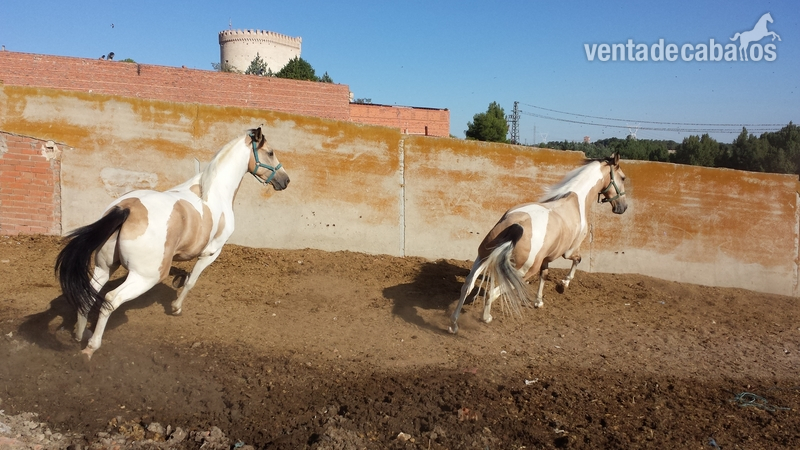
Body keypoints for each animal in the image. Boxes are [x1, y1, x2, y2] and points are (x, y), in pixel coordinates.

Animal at [55, 127, 290, 361]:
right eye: (270, 153)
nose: (285, 180)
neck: (214, 192)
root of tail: (126, 209)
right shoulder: (211, 253)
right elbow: (191, 282)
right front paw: (176, 308)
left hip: (105, 267)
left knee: (88, 293)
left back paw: (79, 334)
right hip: (146, 277)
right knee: (111, 299)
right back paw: (91, 347)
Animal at [448, 153, 627, 334]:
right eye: (623, 178)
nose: (623, 207)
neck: (575, 202)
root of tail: (516, 227)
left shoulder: (547, 257)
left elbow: (544, 275)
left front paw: (539, 301)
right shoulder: (569, 251)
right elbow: (577, 260)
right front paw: (563, 285)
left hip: (483, 257)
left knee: (468, 286)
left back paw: (453, 325)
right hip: (522, 272)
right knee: (493, 293)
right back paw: (486, 318)